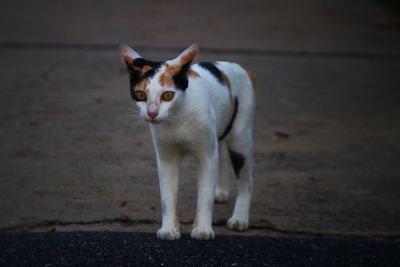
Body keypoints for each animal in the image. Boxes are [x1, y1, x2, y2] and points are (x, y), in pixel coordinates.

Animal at [120, 44, 255, 241]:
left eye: (168, 95)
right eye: (140, 95)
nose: (152, 113)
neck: (177, 119)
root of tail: (235, 65)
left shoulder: (207, 156)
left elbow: (205, 195)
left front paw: (203, 229)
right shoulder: (166, 158)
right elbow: (167, 196)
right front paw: (169, 229)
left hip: (239, 139)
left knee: (246, 180)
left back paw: (239, 219)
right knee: (221, 154)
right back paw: (221, 192)